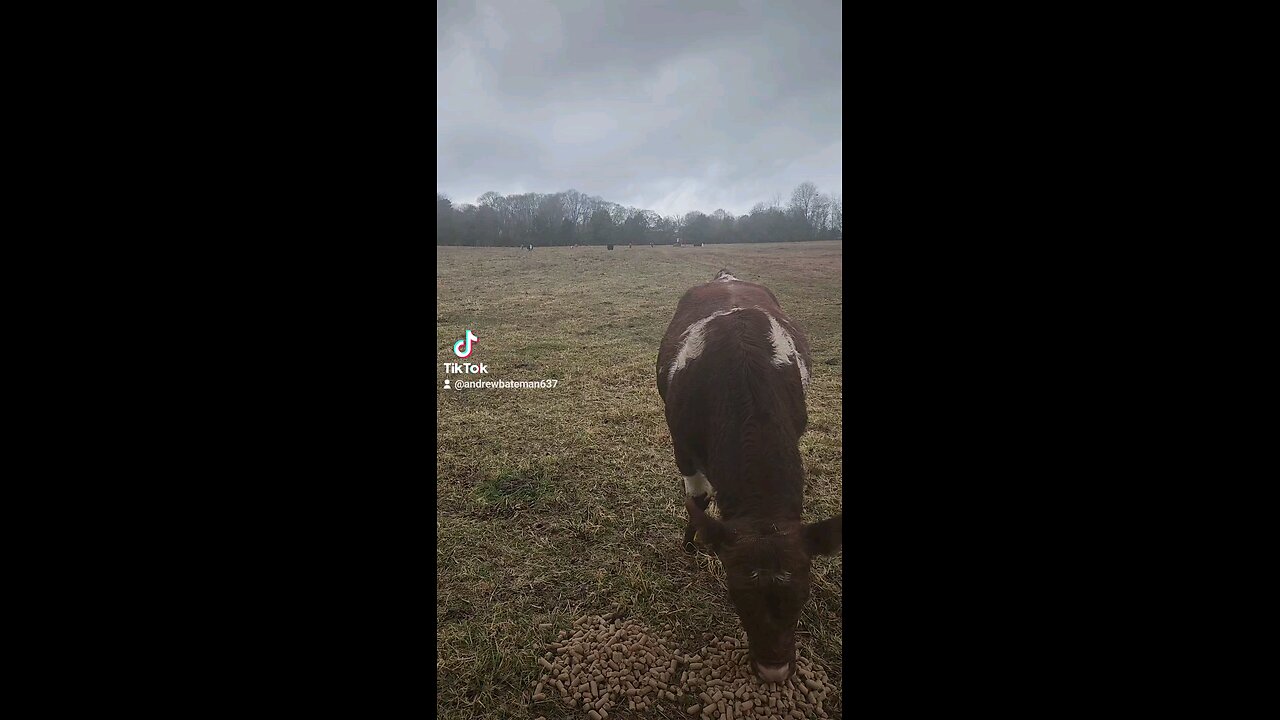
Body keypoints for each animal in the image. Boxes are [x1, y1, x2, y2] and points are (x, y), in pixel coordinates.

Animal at [656, 268, 842, 683]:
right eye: (737, 597)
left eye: (803, 596)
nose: (774, 670)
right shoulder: (682, 447)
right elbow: (697, 499)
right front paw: (692, 544)